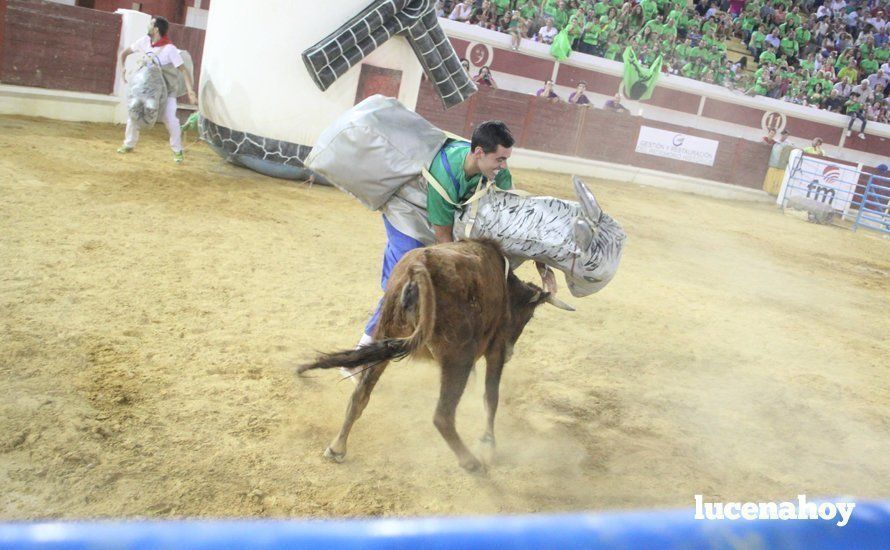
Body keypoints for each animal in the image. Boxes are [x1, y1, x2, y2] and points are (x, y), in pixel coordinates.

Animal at [294, 239, 564, 472]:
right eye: (528, 316)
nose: (511, 353)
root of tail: (419, 268)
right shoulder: (495, 348)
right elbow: (491, 396)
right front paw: (488, 444)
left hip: (385, 334)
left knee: (360, 396)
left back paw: (337, 447)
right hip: (459, 356)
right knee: (442, 416)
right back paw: (471, 462)